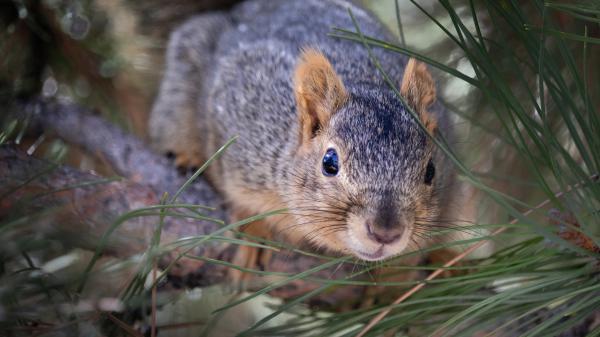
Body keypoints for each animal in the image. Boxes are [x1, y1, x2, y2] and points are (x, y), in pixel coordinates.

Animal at [150, 0, 454, 274]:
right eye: (329, 163)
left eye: (431, 171)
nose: (385, 232)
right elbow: (242, 199)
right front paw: (255, 232)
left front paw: (400, 271)